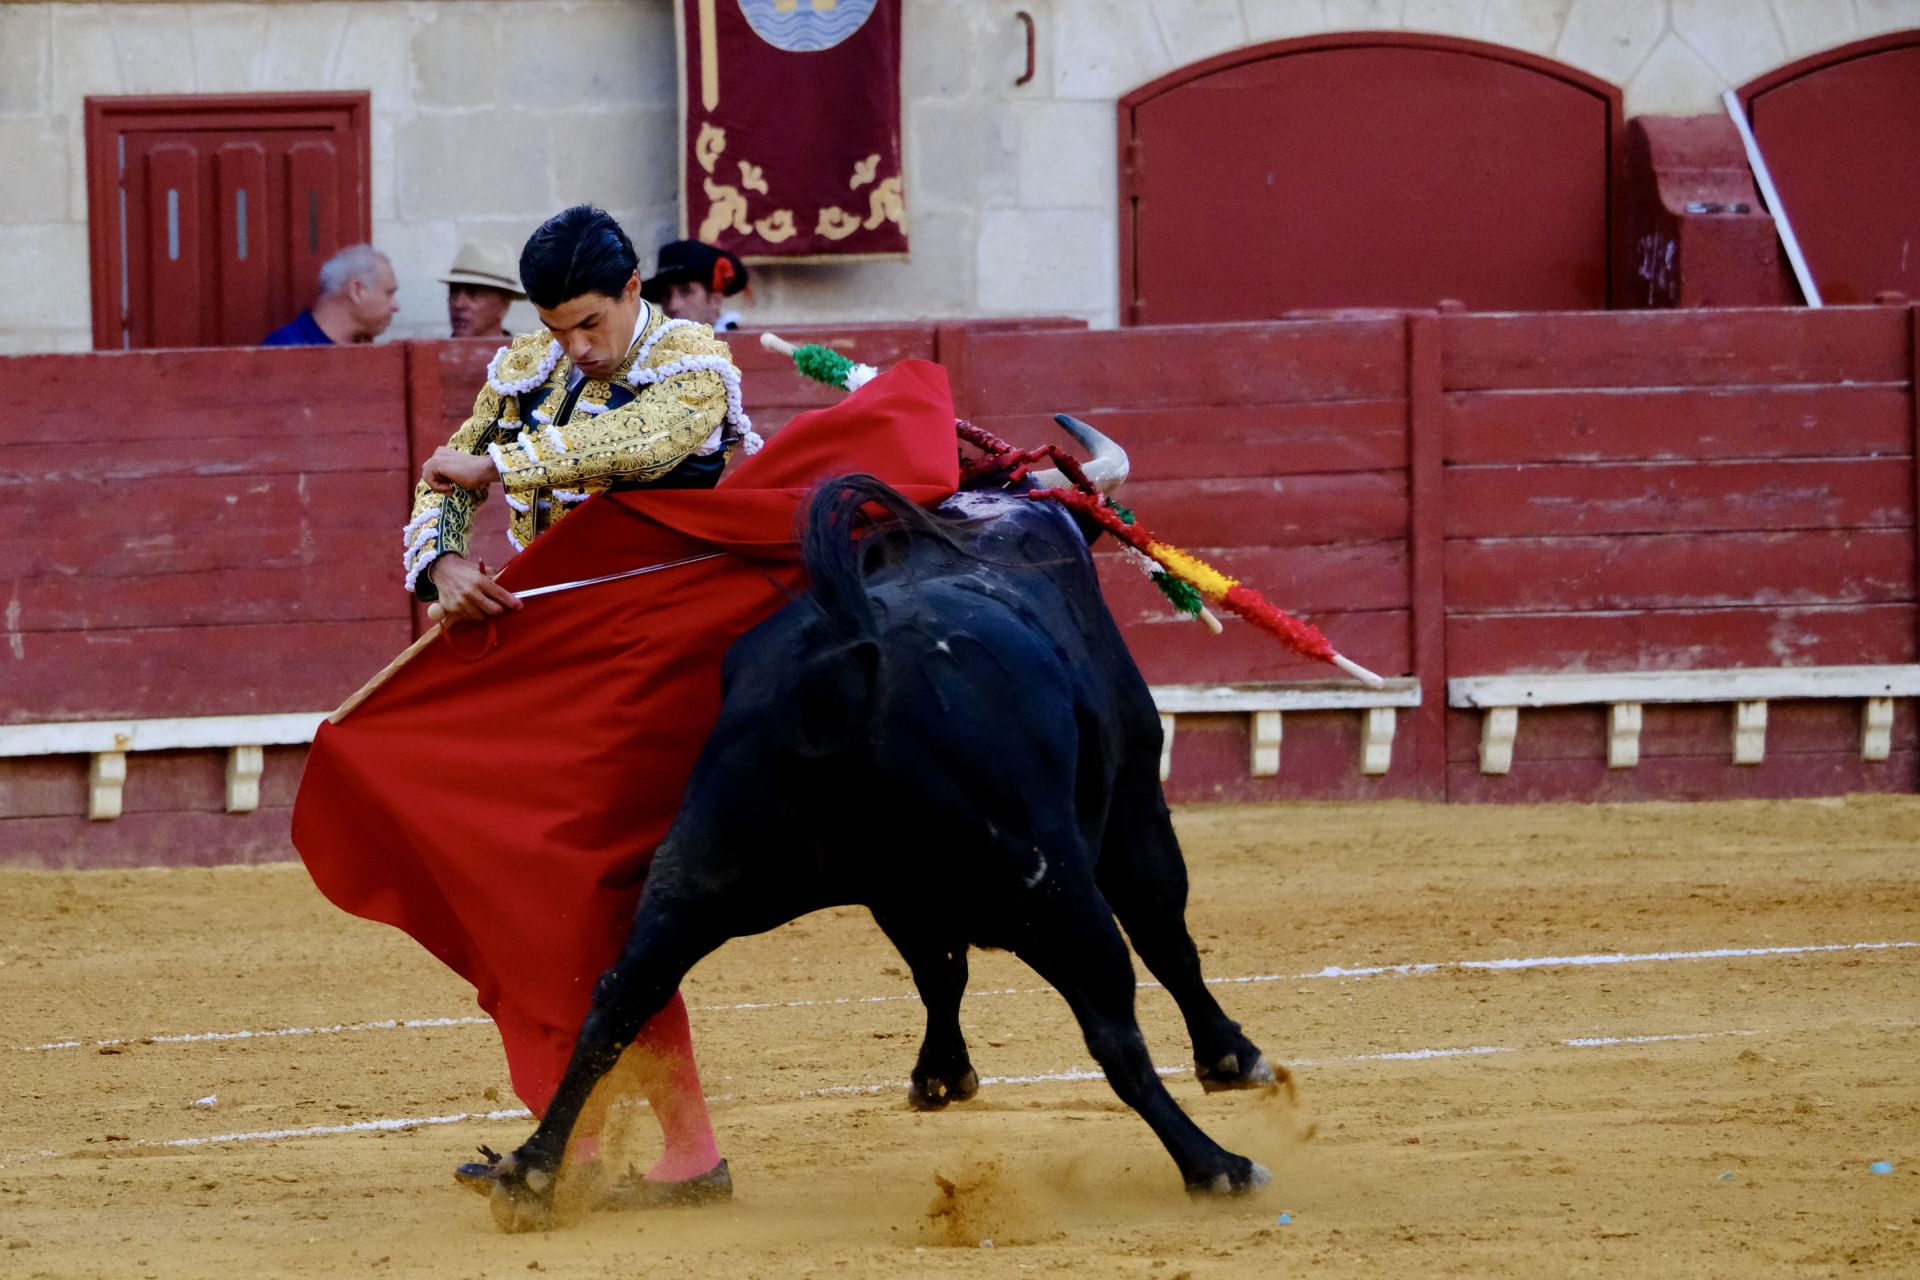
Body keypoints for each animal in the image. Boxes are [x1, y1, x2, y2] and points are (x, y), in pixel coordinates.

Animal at [487, 420, 1282, 1228]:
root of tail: (841, 666)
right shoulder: (1133, 790)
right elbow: (1164, 928)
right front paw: (1232, 1058)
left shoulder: (897, 892)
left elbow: (940, 968)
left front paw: (941, 1077)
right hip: (1053, 882)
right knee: (1114, 1027)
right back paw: (1217, 1165)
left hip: (698, 867)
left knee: (621, 995)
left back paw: (529, 1171)